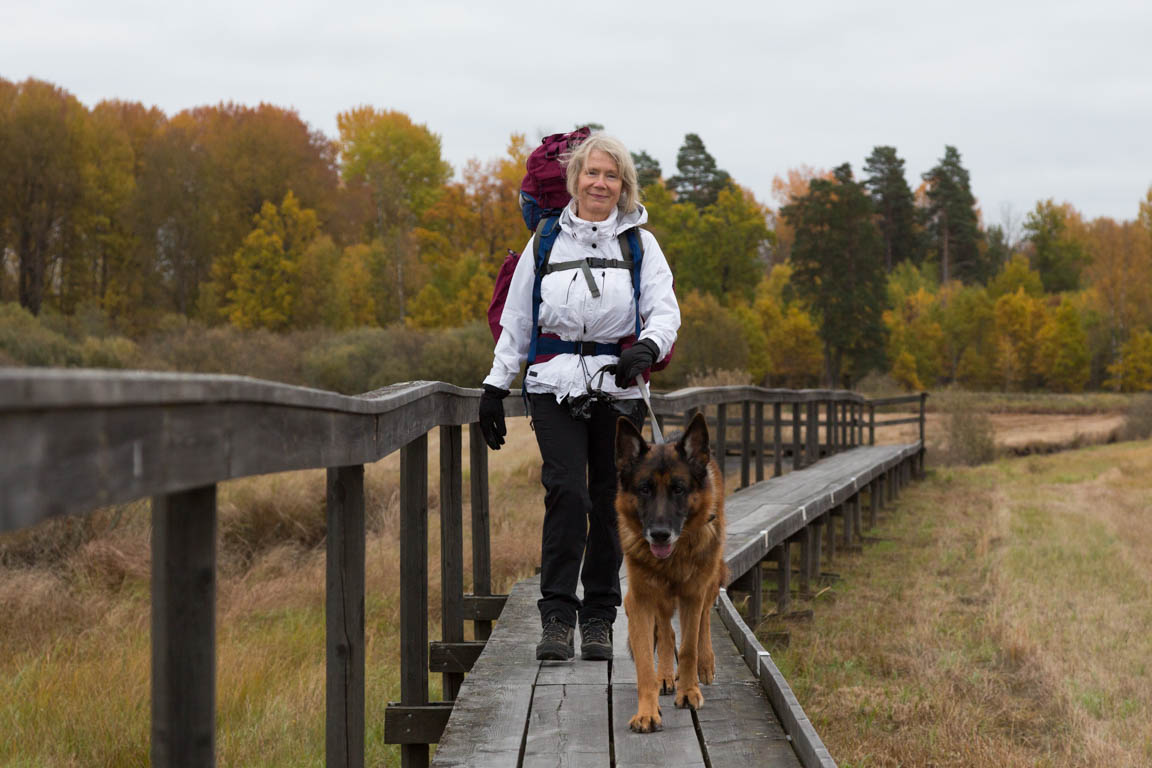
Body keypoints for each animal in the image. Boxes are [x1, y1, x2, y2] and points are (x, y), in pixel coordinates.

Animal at [617, 414, 723, 732]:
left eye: (678, 489)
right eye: (644, 489)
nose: (660, 535)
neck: (672, 558)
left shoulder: (692, 594)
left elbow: (688, 647)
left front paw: (688, 692)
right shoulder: (640, 600)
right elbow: (644, 661)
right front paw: (647, 711)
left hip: (709, 580)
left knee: (704, 622)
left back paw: (705, 664)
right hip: (659, 597)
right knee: (666, 631)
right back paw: (664, 675)